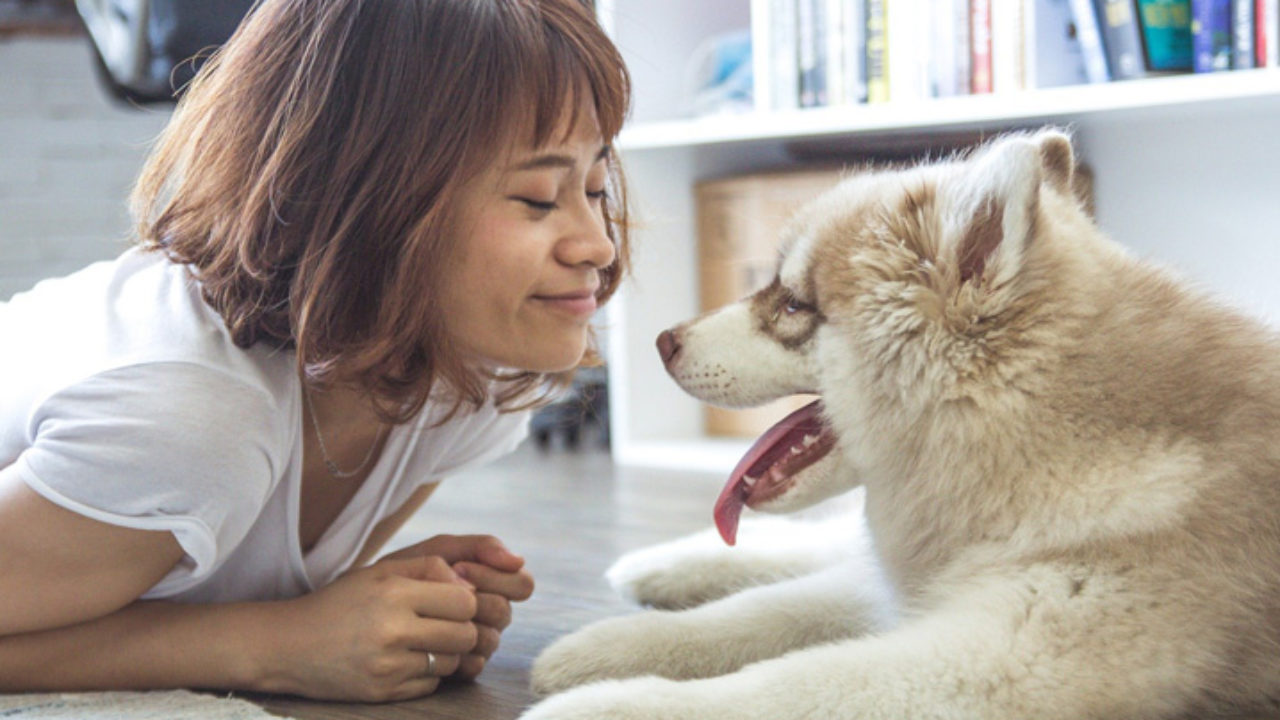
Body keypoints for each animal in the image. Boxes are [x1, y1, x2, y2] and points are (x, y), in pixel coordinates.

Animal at [514, 130, 1280, 717]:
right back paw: (661, 565)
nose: (661, 342)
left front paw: (609, 703)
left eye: (792, 305)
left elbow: (786, 682)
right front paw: (604, 647)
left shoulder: (1001, 662)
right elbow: (760, 613)